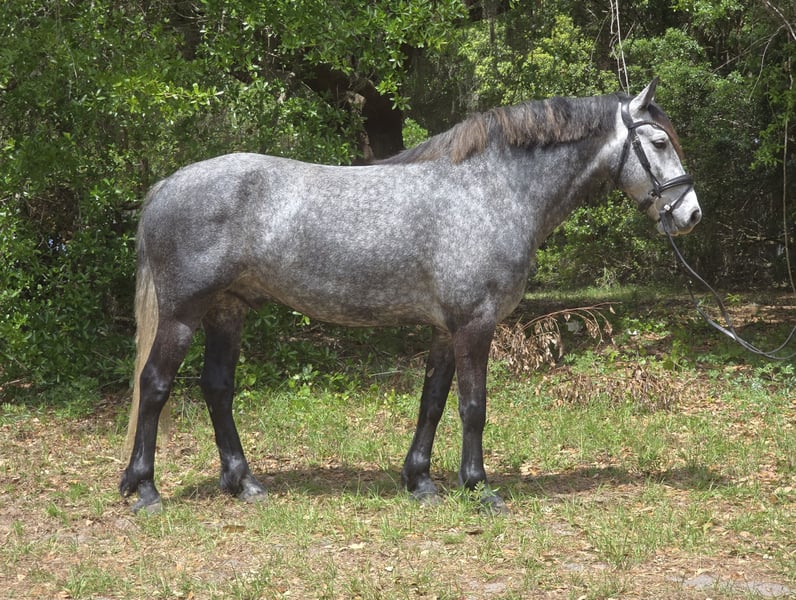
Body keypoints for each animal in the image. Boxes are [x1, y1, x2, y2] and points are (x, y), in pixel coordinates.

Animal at [120, 78, 701, 514]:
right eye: (659, 143)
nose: (690, 214)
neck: (489, 191)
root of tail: (167, 185)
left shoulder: (446, 329)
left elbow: (432, 403)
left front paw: (420, 481)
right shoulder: (475, 324)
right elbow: (473, 406)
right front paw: (478, 486)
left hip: (227, 310)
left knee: (217, 388)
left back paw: (244, 483)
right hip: (182, 315)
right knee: (154, 385)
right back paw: (145, 488)